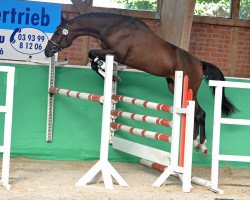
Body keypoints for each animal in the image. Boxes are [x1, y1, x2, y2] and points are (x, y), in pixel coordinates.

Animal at [44, 11, 237, 154]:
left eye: (59, 32)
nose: (47, 51)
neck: (113, 27)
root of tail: (199, 63)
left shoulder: (118, 53)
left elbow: (92, 53)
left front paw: (110, 74)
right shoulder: (111, 53)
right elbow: (93, 59)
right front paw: (110, 75)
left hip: (188, 87)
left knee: (200, 114)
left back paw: (201, 144)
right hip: (175, 87)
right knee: (198, 113)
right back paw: (197, 143)